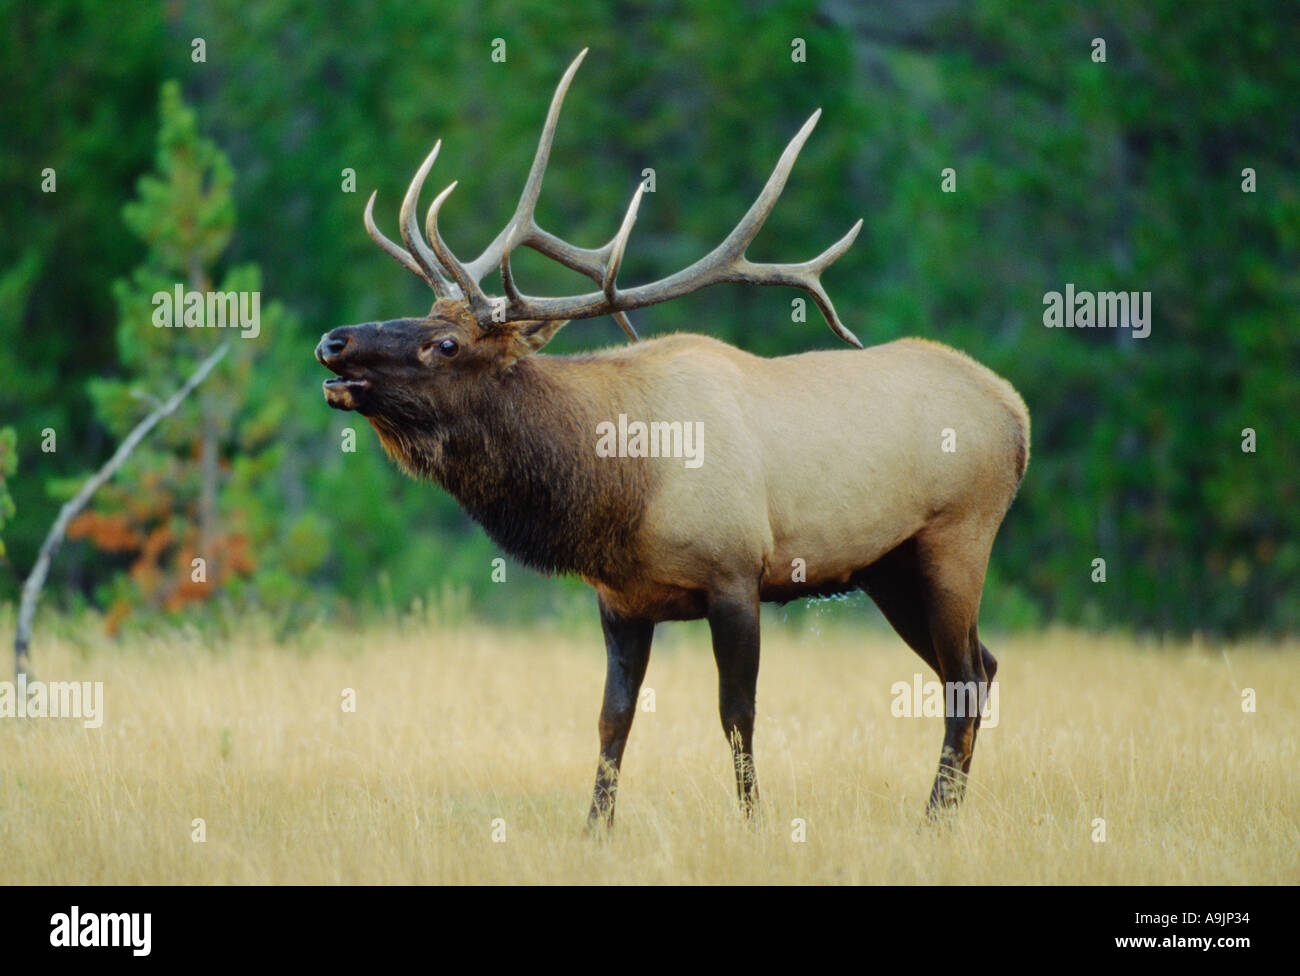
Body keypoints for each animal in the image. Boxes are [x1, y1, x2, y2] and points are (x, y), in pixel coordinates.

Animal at [314, 49, 1024, 826]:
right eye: (422, 313)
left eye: (444, 344)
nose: (333, 340)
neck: (619, 486)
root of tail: (1017, 413)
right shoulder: (620, 599)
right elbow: (612, 720)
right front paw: (594, 830)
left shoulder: (736, 574)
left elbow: (737, 716)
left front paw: (752, 823)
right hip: (888, 567)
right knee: (980, 668)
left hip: (957, 539)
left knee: (964, 675)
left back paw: (934, 820)